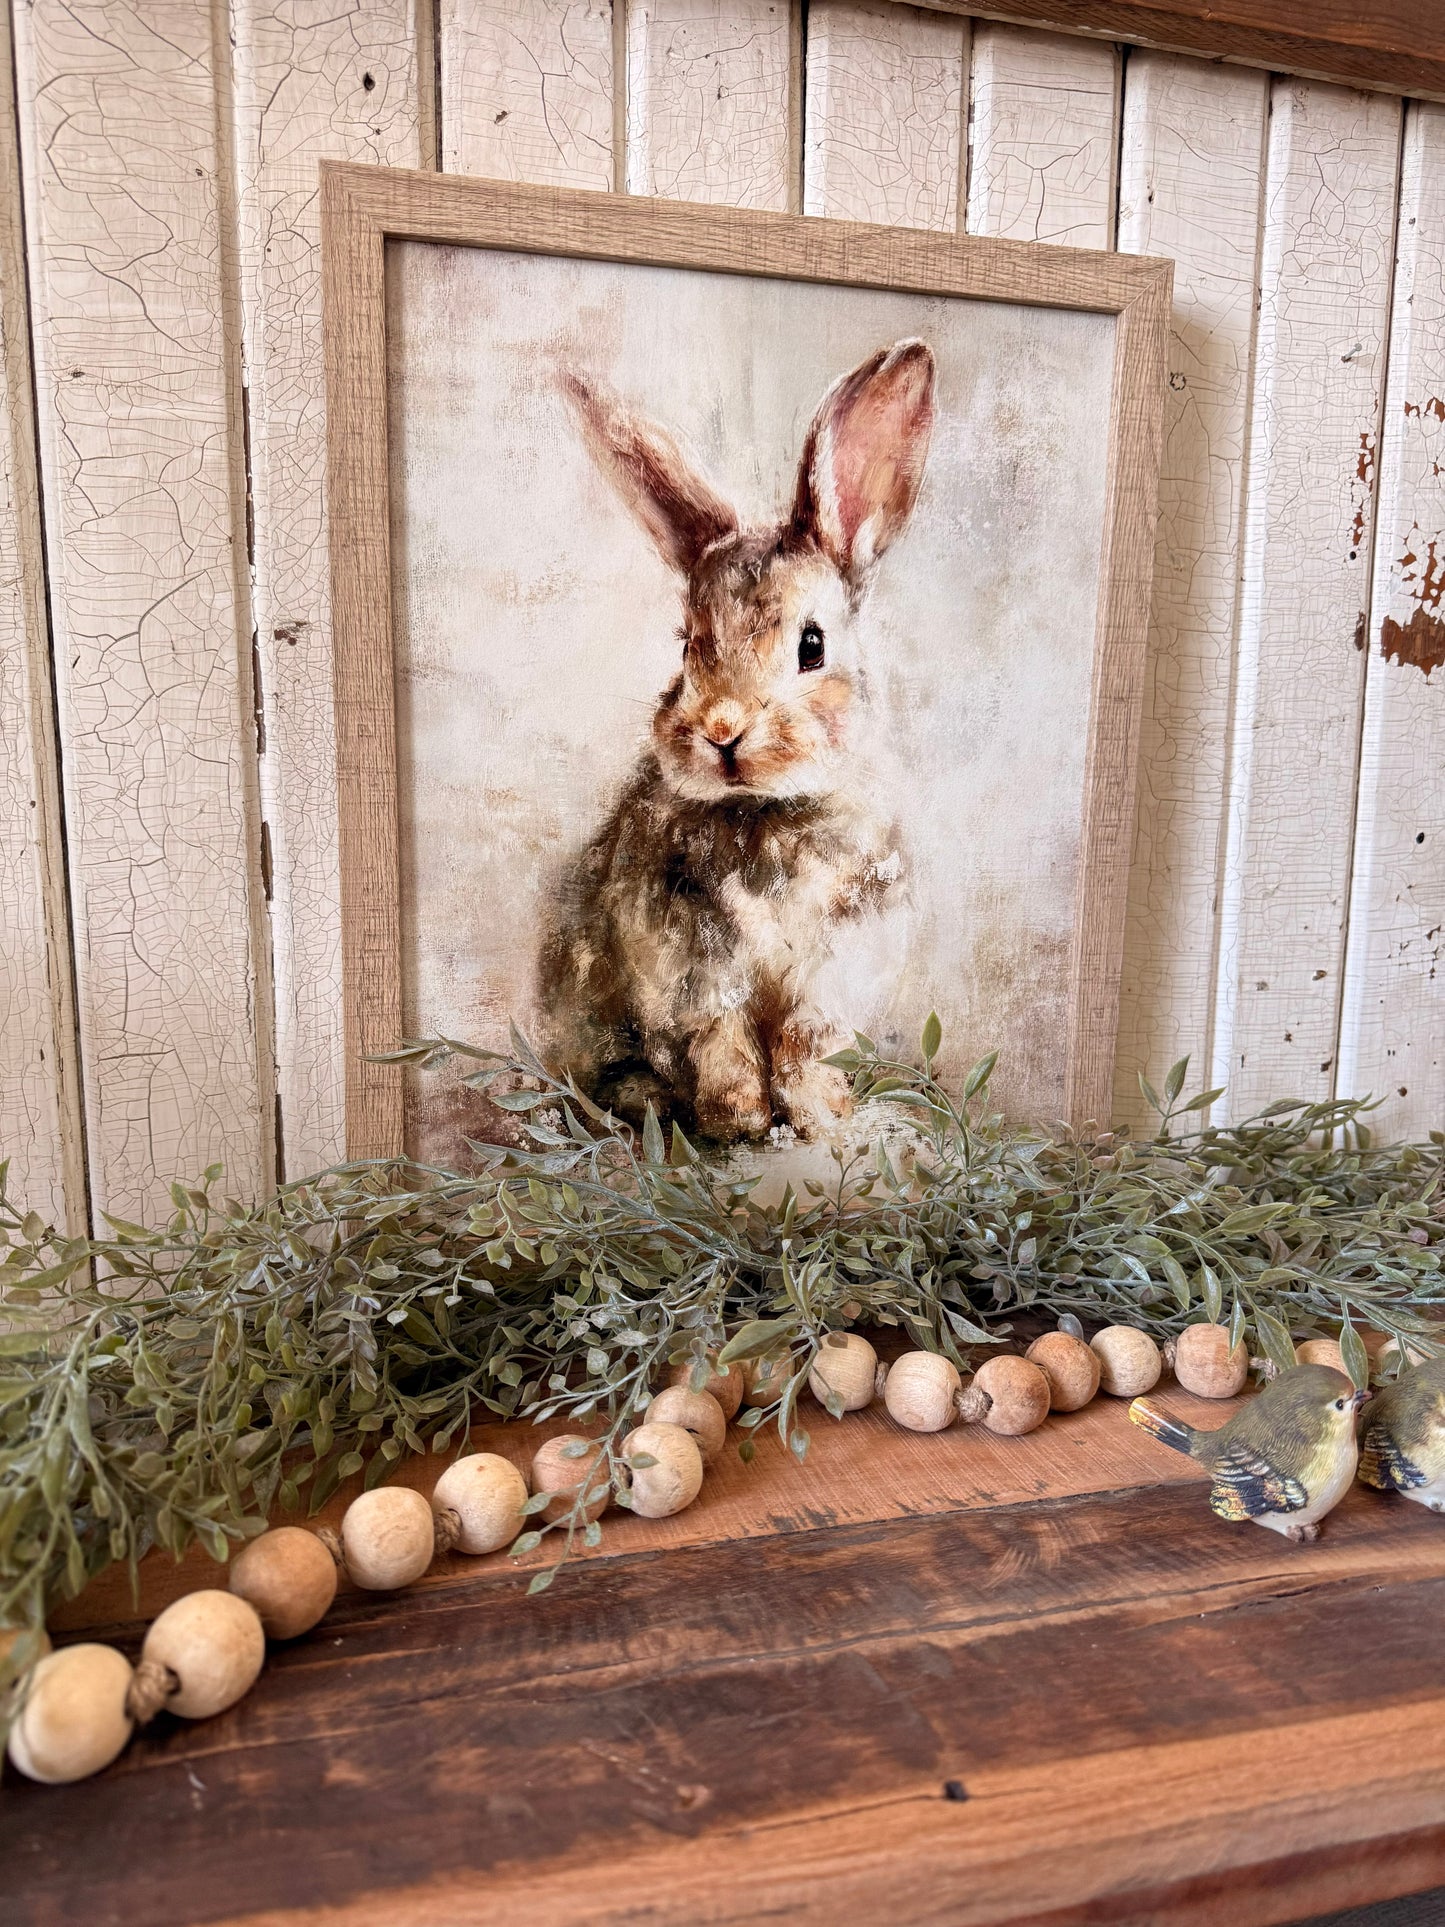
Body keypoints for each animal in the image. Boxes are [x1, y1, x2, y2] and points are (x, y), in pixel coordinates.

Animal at [536, 338, 935, 1142]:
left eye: (812, 645)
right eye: (688, 643)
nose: (722, 730)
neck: (768, 810)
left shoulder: (833, 973)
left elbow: (806, 1047)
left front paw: (823, 1117)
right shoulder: (696, 971)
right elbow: (722, 1043)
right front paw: (739, 1119)